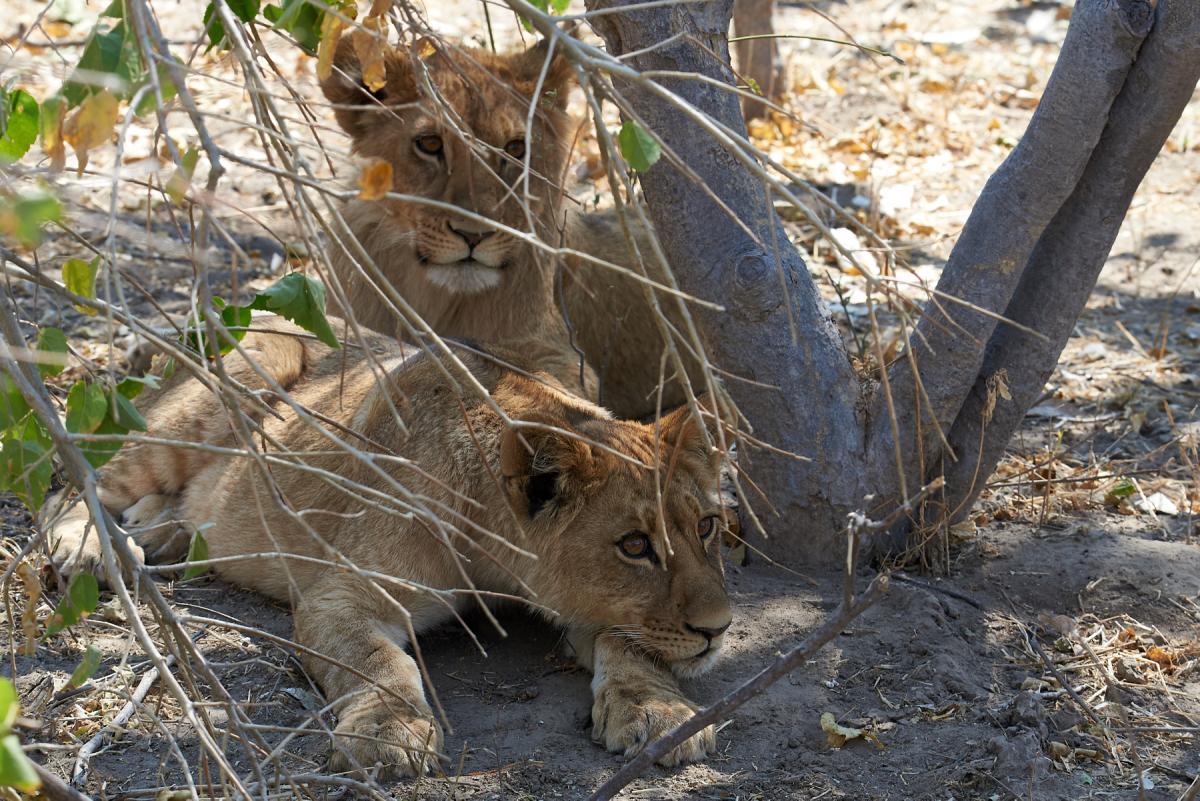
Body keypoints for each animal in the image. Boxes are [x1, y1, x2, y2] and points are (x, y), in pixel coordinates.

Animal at [43, 315, 732, 777]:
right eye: (636, 545)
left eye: (706, 527)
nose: (720, 628)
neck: (491, 550)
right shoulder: (342, 592)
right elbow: (376, 661)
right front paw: (390, 732)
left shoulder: (597, 608)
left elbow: (631, 645)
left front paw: (659, 712)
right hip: (212, 396)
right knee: (79, 478)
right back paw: (89, 550)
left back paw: (164, 533)